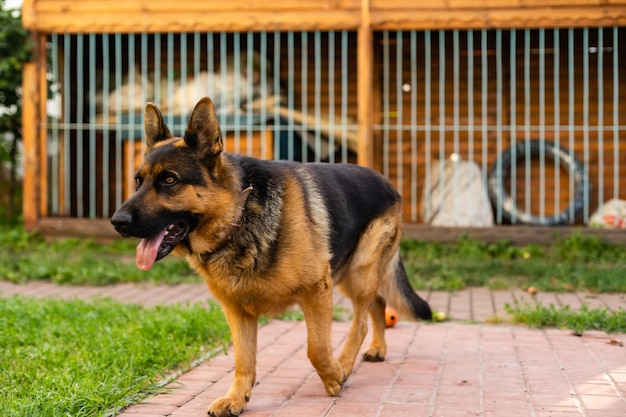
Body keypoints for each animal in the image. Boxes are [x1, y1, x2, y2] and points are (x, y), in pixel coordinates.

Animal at [111, 97, 428, 416]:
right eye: (138, 181)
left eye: (169, 180)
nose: (117, 222)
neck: (238, 214)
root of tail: (386, 181)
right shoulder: (237, 310)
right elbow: (243, 360)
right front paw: (237, 398)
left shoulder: (316, 290)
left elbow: (316, 348)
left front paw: (334, 376)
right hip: (350, 277)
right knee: (378, 303)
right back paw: (378, 349)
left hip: (358, 273)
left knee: (361, 322)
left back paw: (346, 363)